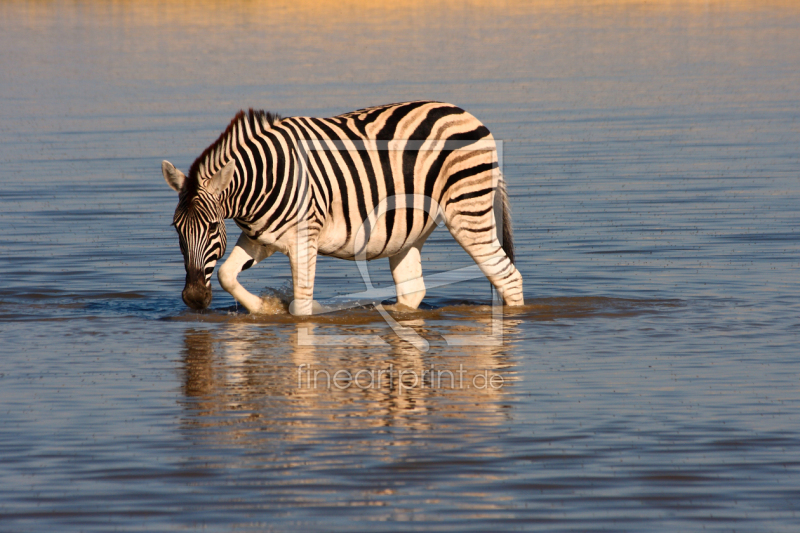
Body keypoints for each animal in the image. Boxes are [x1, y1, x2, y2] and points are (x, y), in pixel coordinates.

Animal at [162, 101, 524, 314]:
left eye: (212, 227)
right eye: (177, 229)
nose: (194, 299)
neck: (262, 181)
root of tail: (467, 115)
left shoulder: (303, 241)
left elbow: (302, 308)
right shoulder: (260, 238)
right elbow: (226, 275)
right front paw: (266, 307)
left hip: (467, 211)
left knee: (508, 278)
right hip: (411, 229)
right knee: (412, 291)